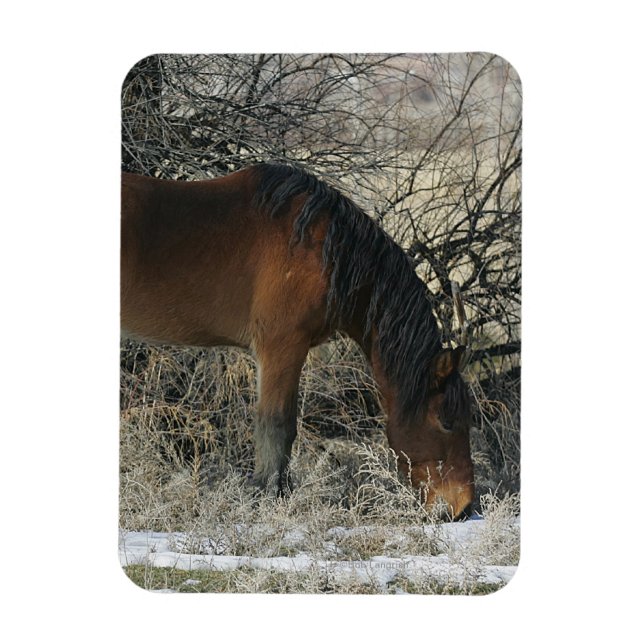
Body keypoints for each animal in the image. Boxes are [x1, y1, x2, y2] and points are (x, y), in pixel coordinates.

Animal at [121, 163, 475, 519]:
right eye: (446, 421)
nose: (463, 507)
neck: (325, 248)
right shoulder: (282, 347)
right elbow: (277, 426)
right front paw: (270, 498)